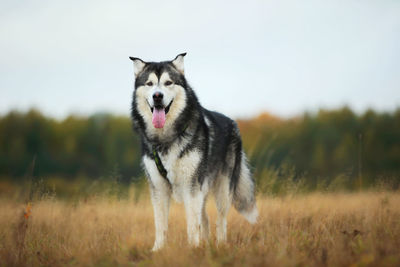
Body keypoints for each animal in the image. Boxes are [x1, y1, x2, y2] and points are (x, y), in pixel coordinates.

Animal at [130, 54, 258, 251]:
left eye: (168, 82)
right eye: (149, 84)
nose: (157, 96)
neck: (167, 138)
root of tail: (233, 123)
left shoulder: (191, 186)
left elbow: (192, 224)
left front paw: (192, 249)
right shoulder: (158, 188)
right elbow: (161, 225)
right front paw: (158, 250)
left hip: (221, 189)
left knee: (220, 220)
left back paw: (220, 245)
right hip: (202, 190)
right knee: (204, 219)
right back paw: (205, 244)